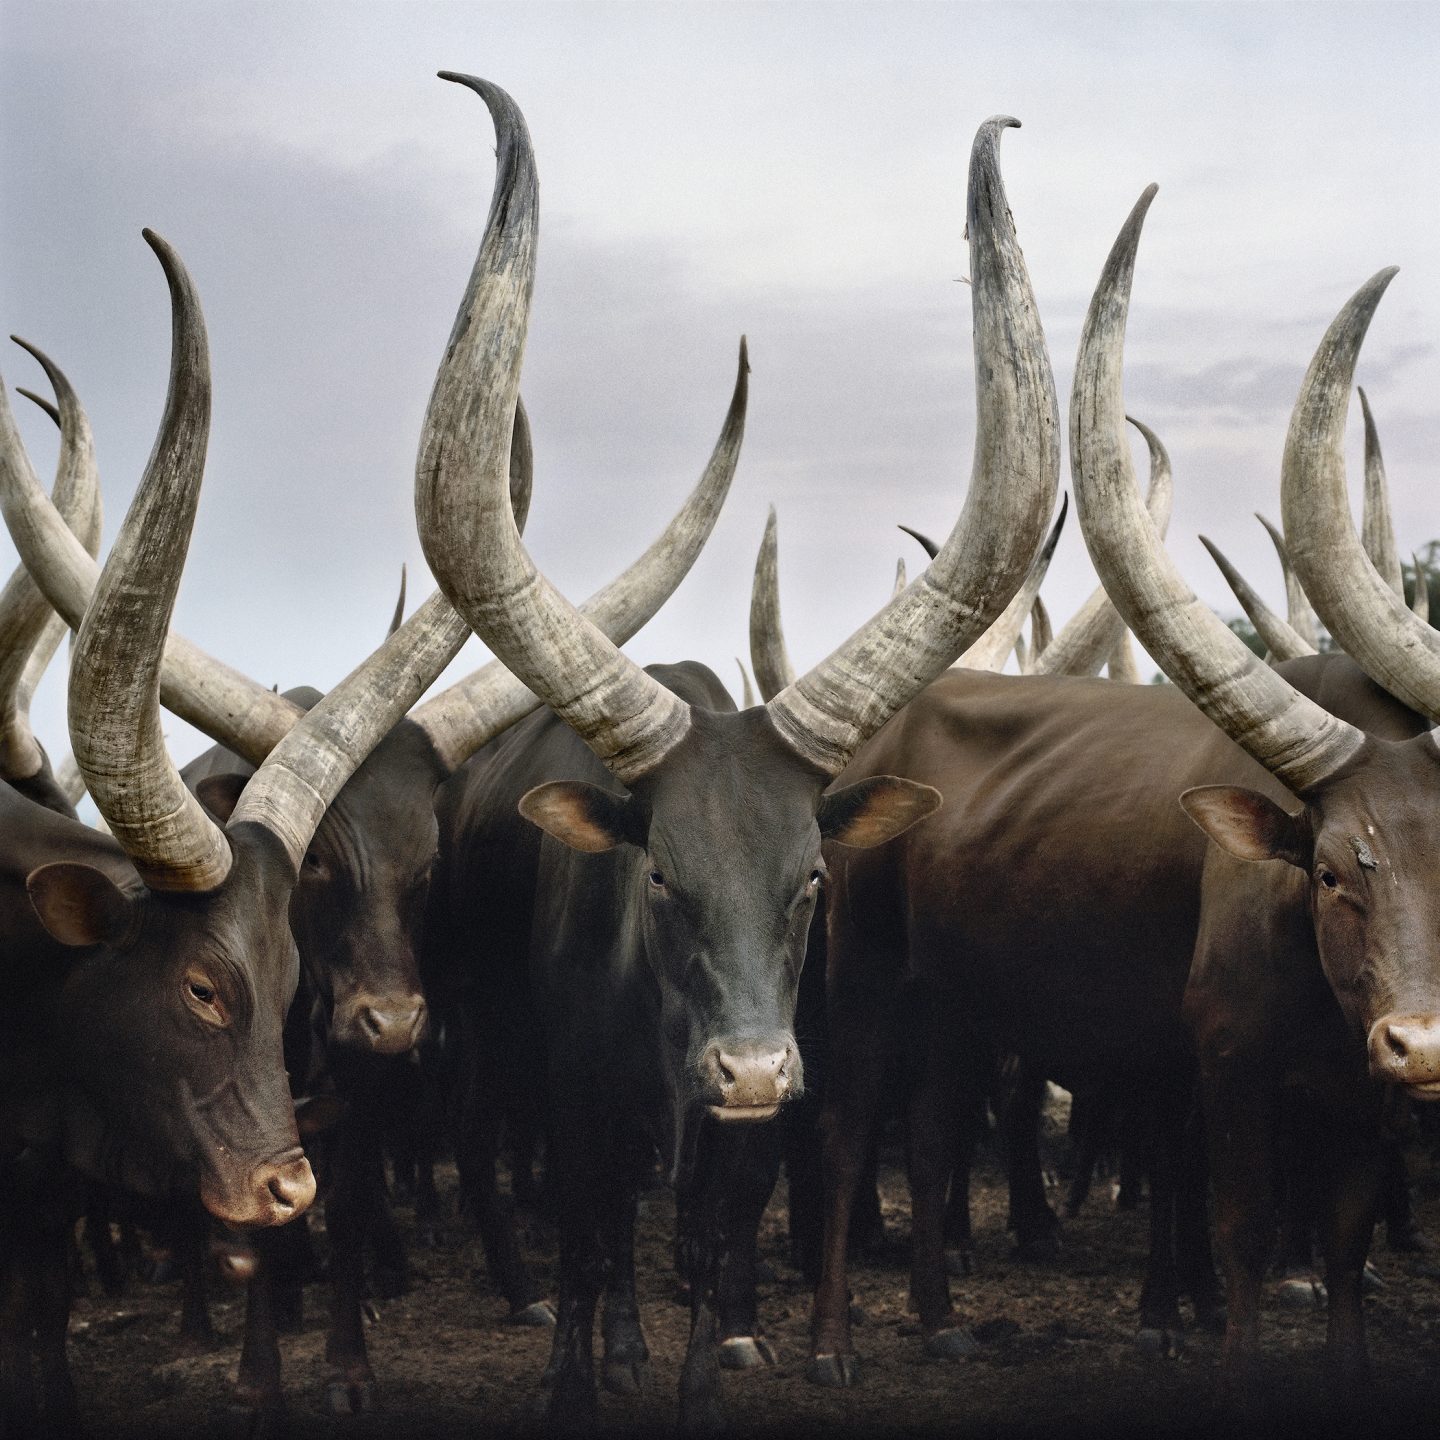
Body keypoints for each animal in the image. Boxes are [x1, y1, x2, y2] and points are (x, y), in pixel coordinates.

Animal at [411, 73, 1065, 1422]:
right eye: (658, 874)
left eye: (811, 877)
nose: (755, 1071)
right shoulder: (577, 1108)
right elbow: (592, 1244)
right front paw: (577, 1382)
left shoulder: (749, 1145)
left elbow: (715, 1264)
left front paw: (698, 1376)